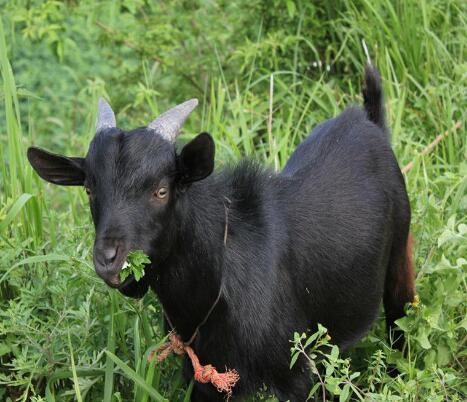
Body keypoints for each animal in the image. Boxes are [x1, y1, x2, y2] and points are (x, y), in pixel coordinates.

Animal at [27, 66, 414, 402]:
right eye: (90, 189)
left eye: (162, 190)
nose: (109, 260)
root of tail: (368, 121)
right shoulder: (204, 379)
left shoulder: (299, 372)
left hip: (400, 259)